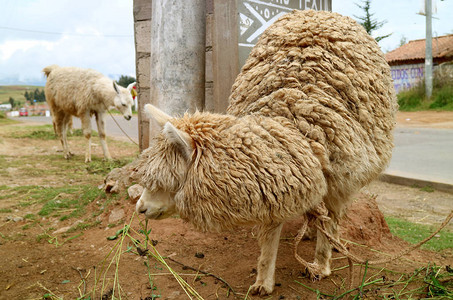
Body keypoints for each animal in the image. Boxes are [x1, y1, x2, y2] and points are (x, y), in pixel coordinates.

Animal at [133, 9, 396, 296]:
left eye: (166, 181)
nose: (140, 208)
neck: (296, 124)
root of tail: (314, 12)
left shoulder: (339, 179)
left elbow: (330, 221)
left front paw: (321, 264)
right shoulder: (274, 185)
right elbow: (271, 235)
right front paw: (263, 282)